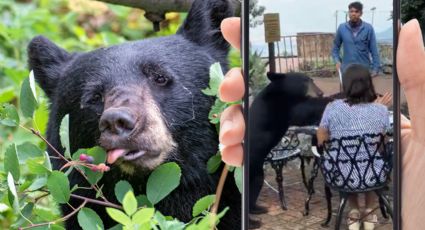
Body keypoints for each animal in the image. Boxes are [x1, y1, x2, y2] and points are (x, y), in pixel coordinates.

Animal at [247, 72, 332, 210]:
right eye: (304, 81)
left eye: (312, 80)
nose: (321, 92)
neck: (282, 90)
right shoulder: (284, 106)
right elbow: (304, 111)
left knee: (256, 185)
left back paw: (257, 209)